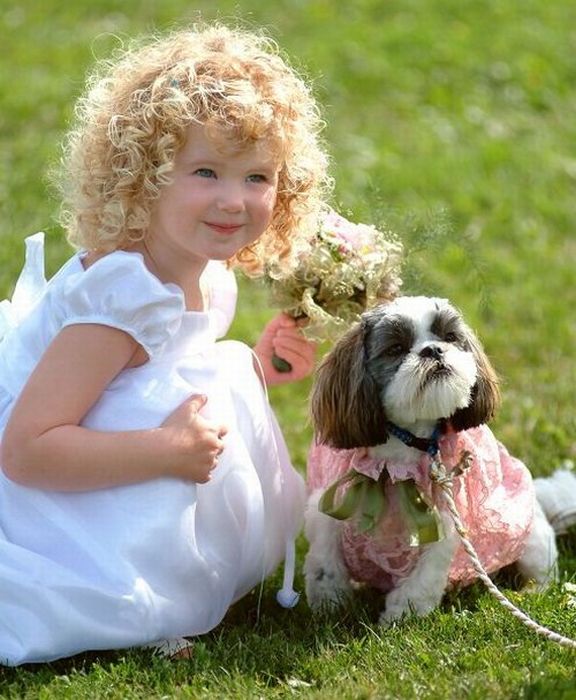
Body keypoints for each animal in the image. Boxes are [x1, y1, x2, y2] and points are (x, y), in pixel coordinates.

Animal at [304, 296, 575, 624]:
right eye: (396, 348)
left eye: (449, 337)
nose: (433, 349)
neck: (401, 454)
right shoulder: (328, 504)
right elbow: (324, 562)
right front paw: (329, 604)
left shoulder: (445, 518)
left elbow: (424, 576)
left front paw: (401, 616)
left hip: (531, 539)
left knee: (541, 572)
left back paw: (530, 591)